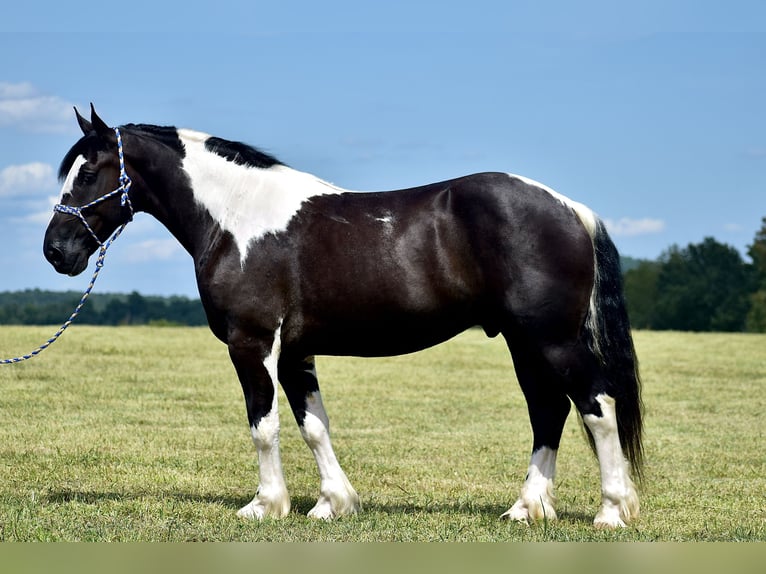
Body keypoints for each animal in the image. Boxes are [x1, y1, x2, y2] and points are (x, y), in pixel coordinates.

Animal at [43, 109, 640, 532]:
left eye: (88, 171)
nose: (55, 250)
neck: (238, 218)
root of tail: (569, 208)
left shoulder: (252, 344)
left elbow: (264, 425)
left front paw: (265, 505)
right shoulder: (295, 351)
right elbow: (314, 425)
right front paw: (333, 502)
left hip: (552, 340)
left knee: (598, 406)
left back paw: (611, 511)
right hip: (524, 342)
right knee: (548, 412)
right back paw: (527, 508)